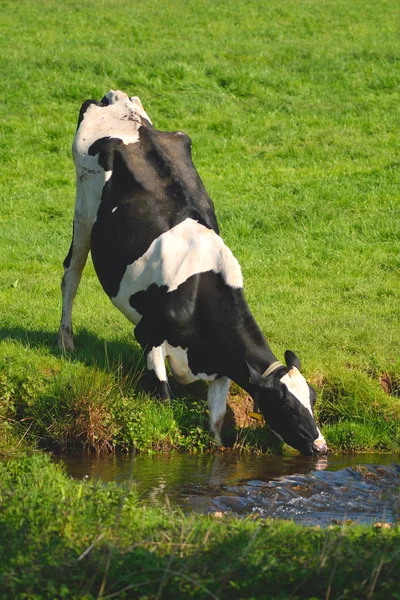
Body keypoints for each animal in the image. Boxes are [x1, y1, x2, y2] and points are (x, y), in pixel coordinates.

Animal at [58, 90, 328, 454]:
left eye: (312, 398)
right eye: (286, 406)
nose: (321, 447)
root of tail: (116, 99)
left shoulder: (221, 370)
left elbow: (216, 426)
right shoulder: (147, 333)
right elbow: (164, 397)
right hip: (84, 209)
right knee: (71, 274)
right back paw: (66, 341)